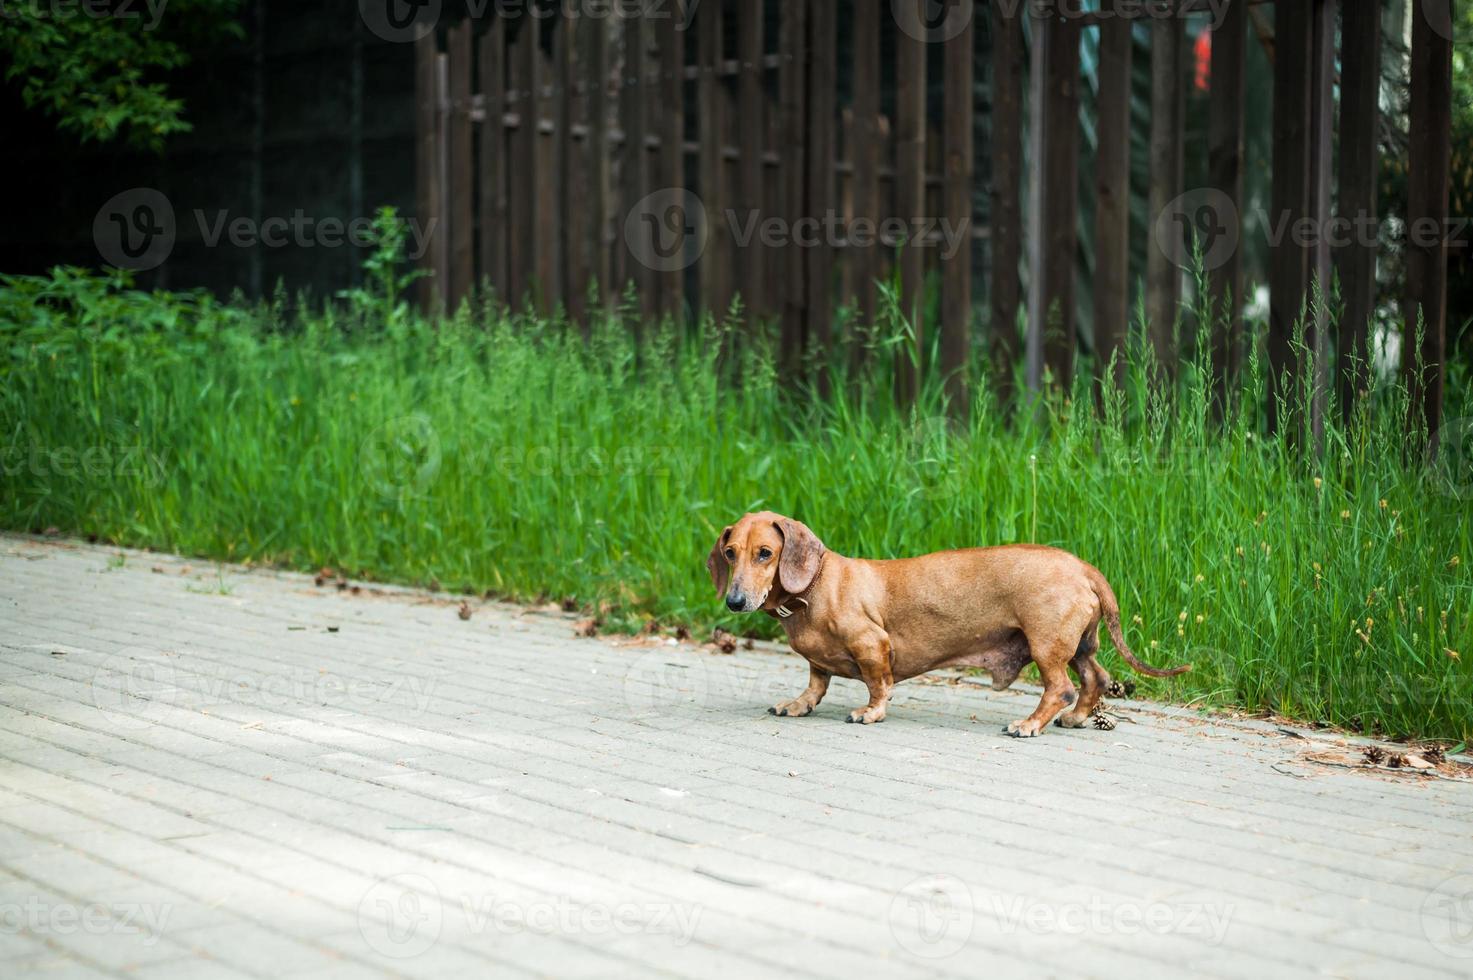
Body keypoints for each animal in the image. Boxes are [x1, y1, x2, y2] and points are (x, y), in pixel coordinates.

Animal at [707, 512, 1190, 733]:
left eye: (765, 553)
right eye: (730, 553)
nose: (734, 601)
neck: (817, 585)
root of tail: (1084, 568)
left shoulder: (871, 644)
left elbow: (877, 684)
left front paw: (870, 712)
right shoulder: (817, 663)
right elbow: (815, 683)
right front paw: (798, 703)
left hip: (1046, 645)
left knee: (1061, 688)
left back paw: (1030, 724)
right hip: (1079, 646)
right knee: (1096, 678)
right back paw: (1074, 719)